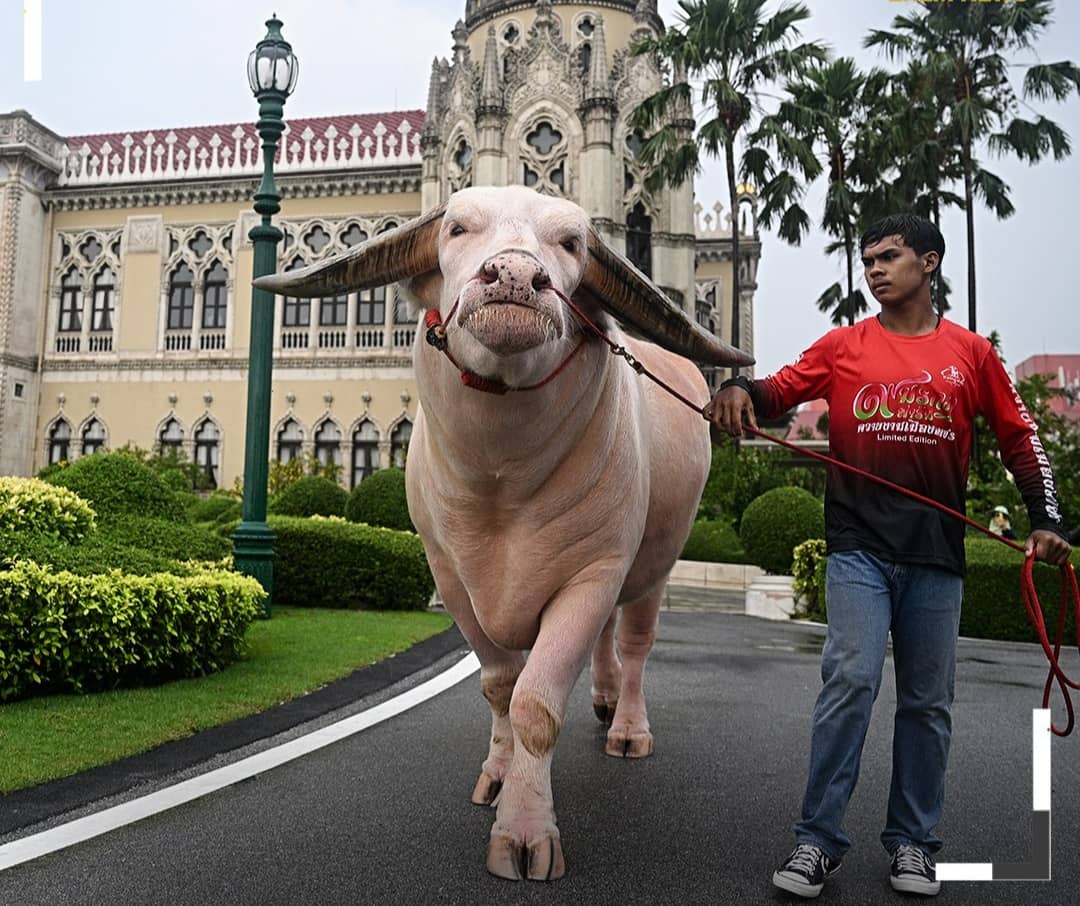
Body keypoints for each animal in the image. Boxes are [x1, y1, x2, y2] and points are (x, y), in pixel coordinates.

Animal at [258, 187, 756, 881]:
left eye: (571, 244)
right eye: (457, 228)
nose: (516, 277)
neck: (502, 477)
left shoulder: (591, 575)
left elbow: (535, 706)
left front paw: (524, 833)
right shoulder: (451, 579)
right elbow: (498, 686)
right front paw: (495, 777)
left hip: (654, 563)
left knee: (634, 644)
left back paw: (627, 726)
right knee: (606, 644)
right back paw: (603, 700)